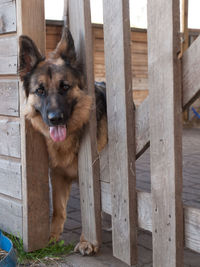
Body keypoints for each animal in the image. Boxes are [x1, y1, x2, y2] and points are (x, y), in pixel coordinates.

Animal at [19, 28, 107, 256]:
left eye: (65, 87)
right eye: (40, 90)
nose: (55, 118)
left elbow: (90, 209)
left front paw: (87, 241)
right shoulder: (58, 176)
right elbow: (58, 210)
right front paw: (51, 238)